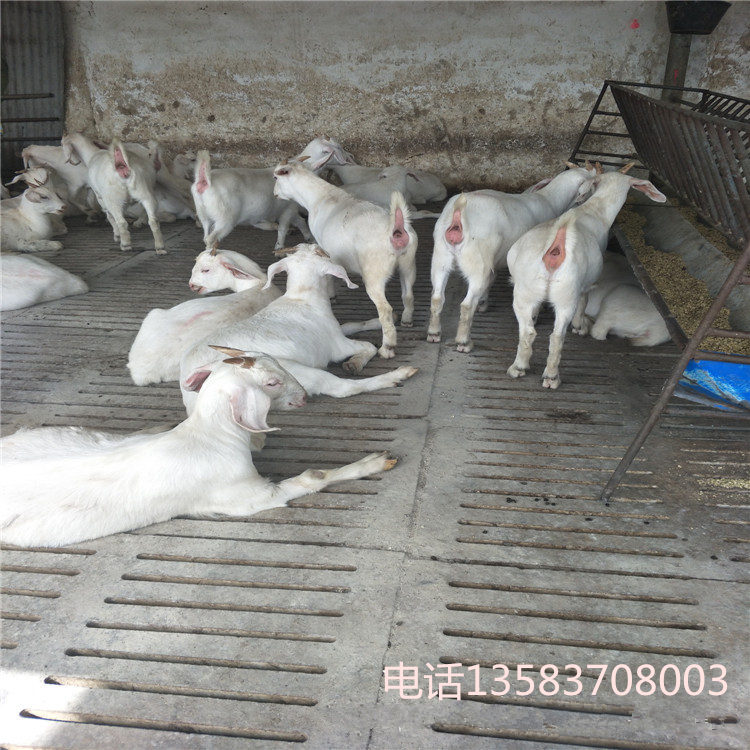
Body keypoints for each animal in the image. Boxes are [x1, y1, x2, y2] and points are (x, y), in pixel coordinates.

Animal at [0, 356, 396, 547]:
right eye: (272, 382)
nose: (303, 396)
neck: (211, 436)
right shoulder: (247, 496)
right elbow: (313, 476)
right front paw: (375, 461)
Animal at [180, 243, 418, 414]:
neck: (301, 296)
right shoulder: (336, 345)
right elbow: (368, 346)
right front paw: (355, 362)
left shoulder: (335, 330)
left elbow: (350, 324)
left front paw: (388, 318)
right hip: (294, 372)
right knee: (343, 388)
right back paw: (398, 374)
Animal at [273, 162, 418, 358]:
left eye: (276, 178)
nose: (274, 193)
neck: (320, 197)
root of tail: (396, 229)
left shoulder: (324, 247)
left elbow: (328, 274)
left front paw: (331, 295)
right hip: (408, 264)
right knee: (408, 295)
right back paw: (407, 320)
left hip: (374, 272)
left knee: (385, 310)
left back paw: (387, 347)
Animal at [427, 164, 596, 352]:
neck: (550, 200)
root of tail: (458, 214)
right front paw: (535, 315)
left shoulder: (493, 261)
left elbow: (491, 280)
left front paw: (483, 303)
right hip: (476, 263)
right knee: (466, 305)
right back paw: (464, 342)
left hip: (440, 258)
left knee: (437, 297)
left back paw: (434, 333)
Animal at [506, 165, 667, 389]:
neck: (596, 210)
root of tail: (556, 243)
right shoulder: (588, 283)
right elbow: (584, 300)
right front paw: (578, 326)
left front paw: (538, 316)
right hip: (566, 295)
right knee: (558, 337)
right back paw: (552, 376)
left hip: (525, 291)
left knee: (528, 332)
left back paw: (519, 367)